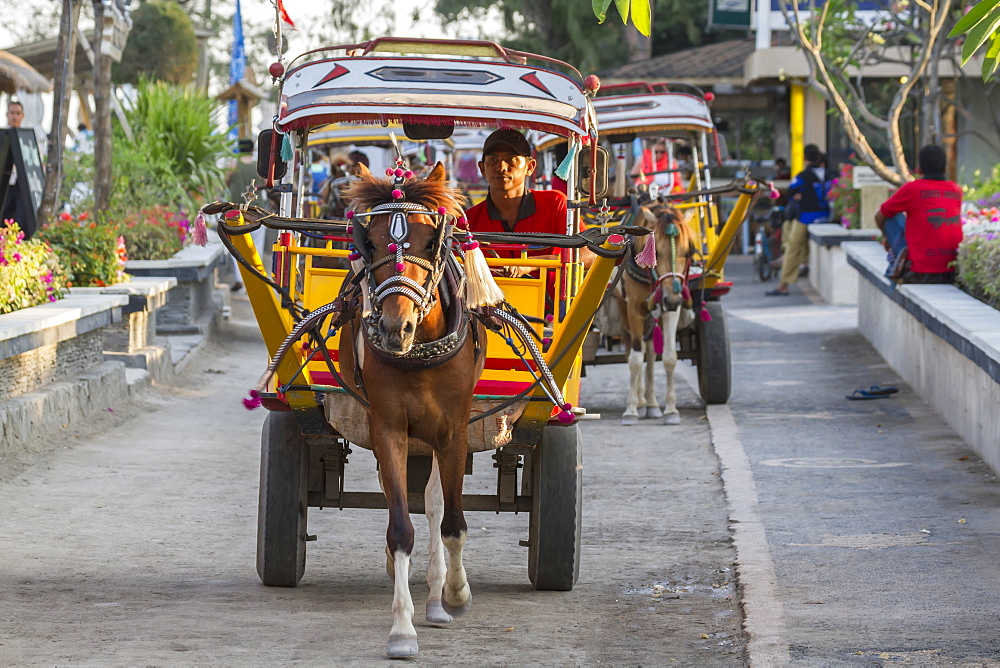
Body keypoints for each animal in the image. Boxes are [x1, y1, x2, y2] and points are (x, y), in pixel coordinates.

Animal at [338, 163, 486, 656]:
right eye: (371, 242)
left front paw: (455, 592)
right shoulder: (388, 427)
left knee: (438, 505)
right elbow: (401, 525)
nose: (394, 328)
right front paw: (402, 629)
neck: (419, 350)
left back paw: (440, 595)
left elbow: (452, 520)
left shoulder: (454, 432)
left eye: (428, 242)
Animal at [616, 201, 696, 426]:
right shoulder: (634, 308)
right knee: (634, 349)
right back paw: (640, 401)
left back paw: (651, 403)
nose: (673, 299)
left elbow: (668, 357)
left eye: (688, 252)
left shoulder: (670, 310)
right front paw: (631, 409)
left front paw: (671, 410)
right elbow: (635, 359)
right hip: (624, 309)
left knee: (650, 352)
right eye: (656, 252)